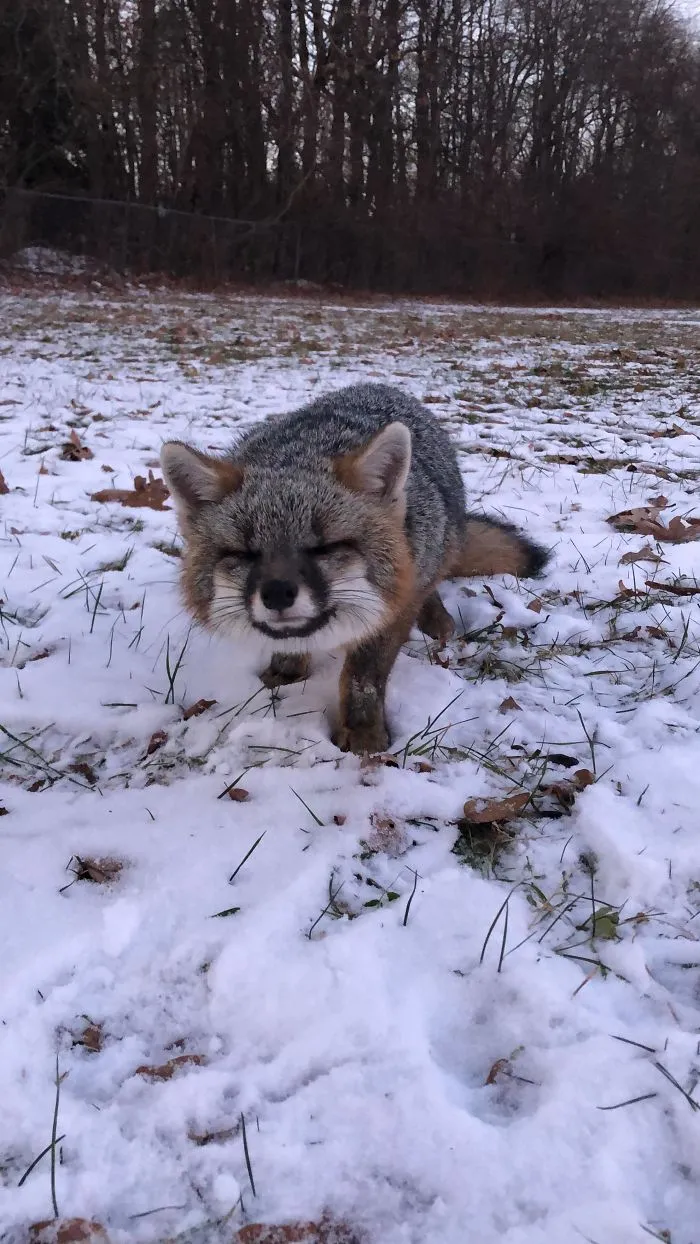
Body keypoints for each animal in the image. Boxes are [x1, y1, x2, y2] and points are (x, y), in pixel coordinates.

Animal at [160, 383, 548, 756]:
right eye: (244, 553)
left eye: (326, 547)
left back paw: (436, 618)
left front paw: (364, 734)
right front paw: (284, 674)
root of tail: (380, 385)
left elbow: (363, 679)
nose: (277, 594)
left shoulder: (390, 614)